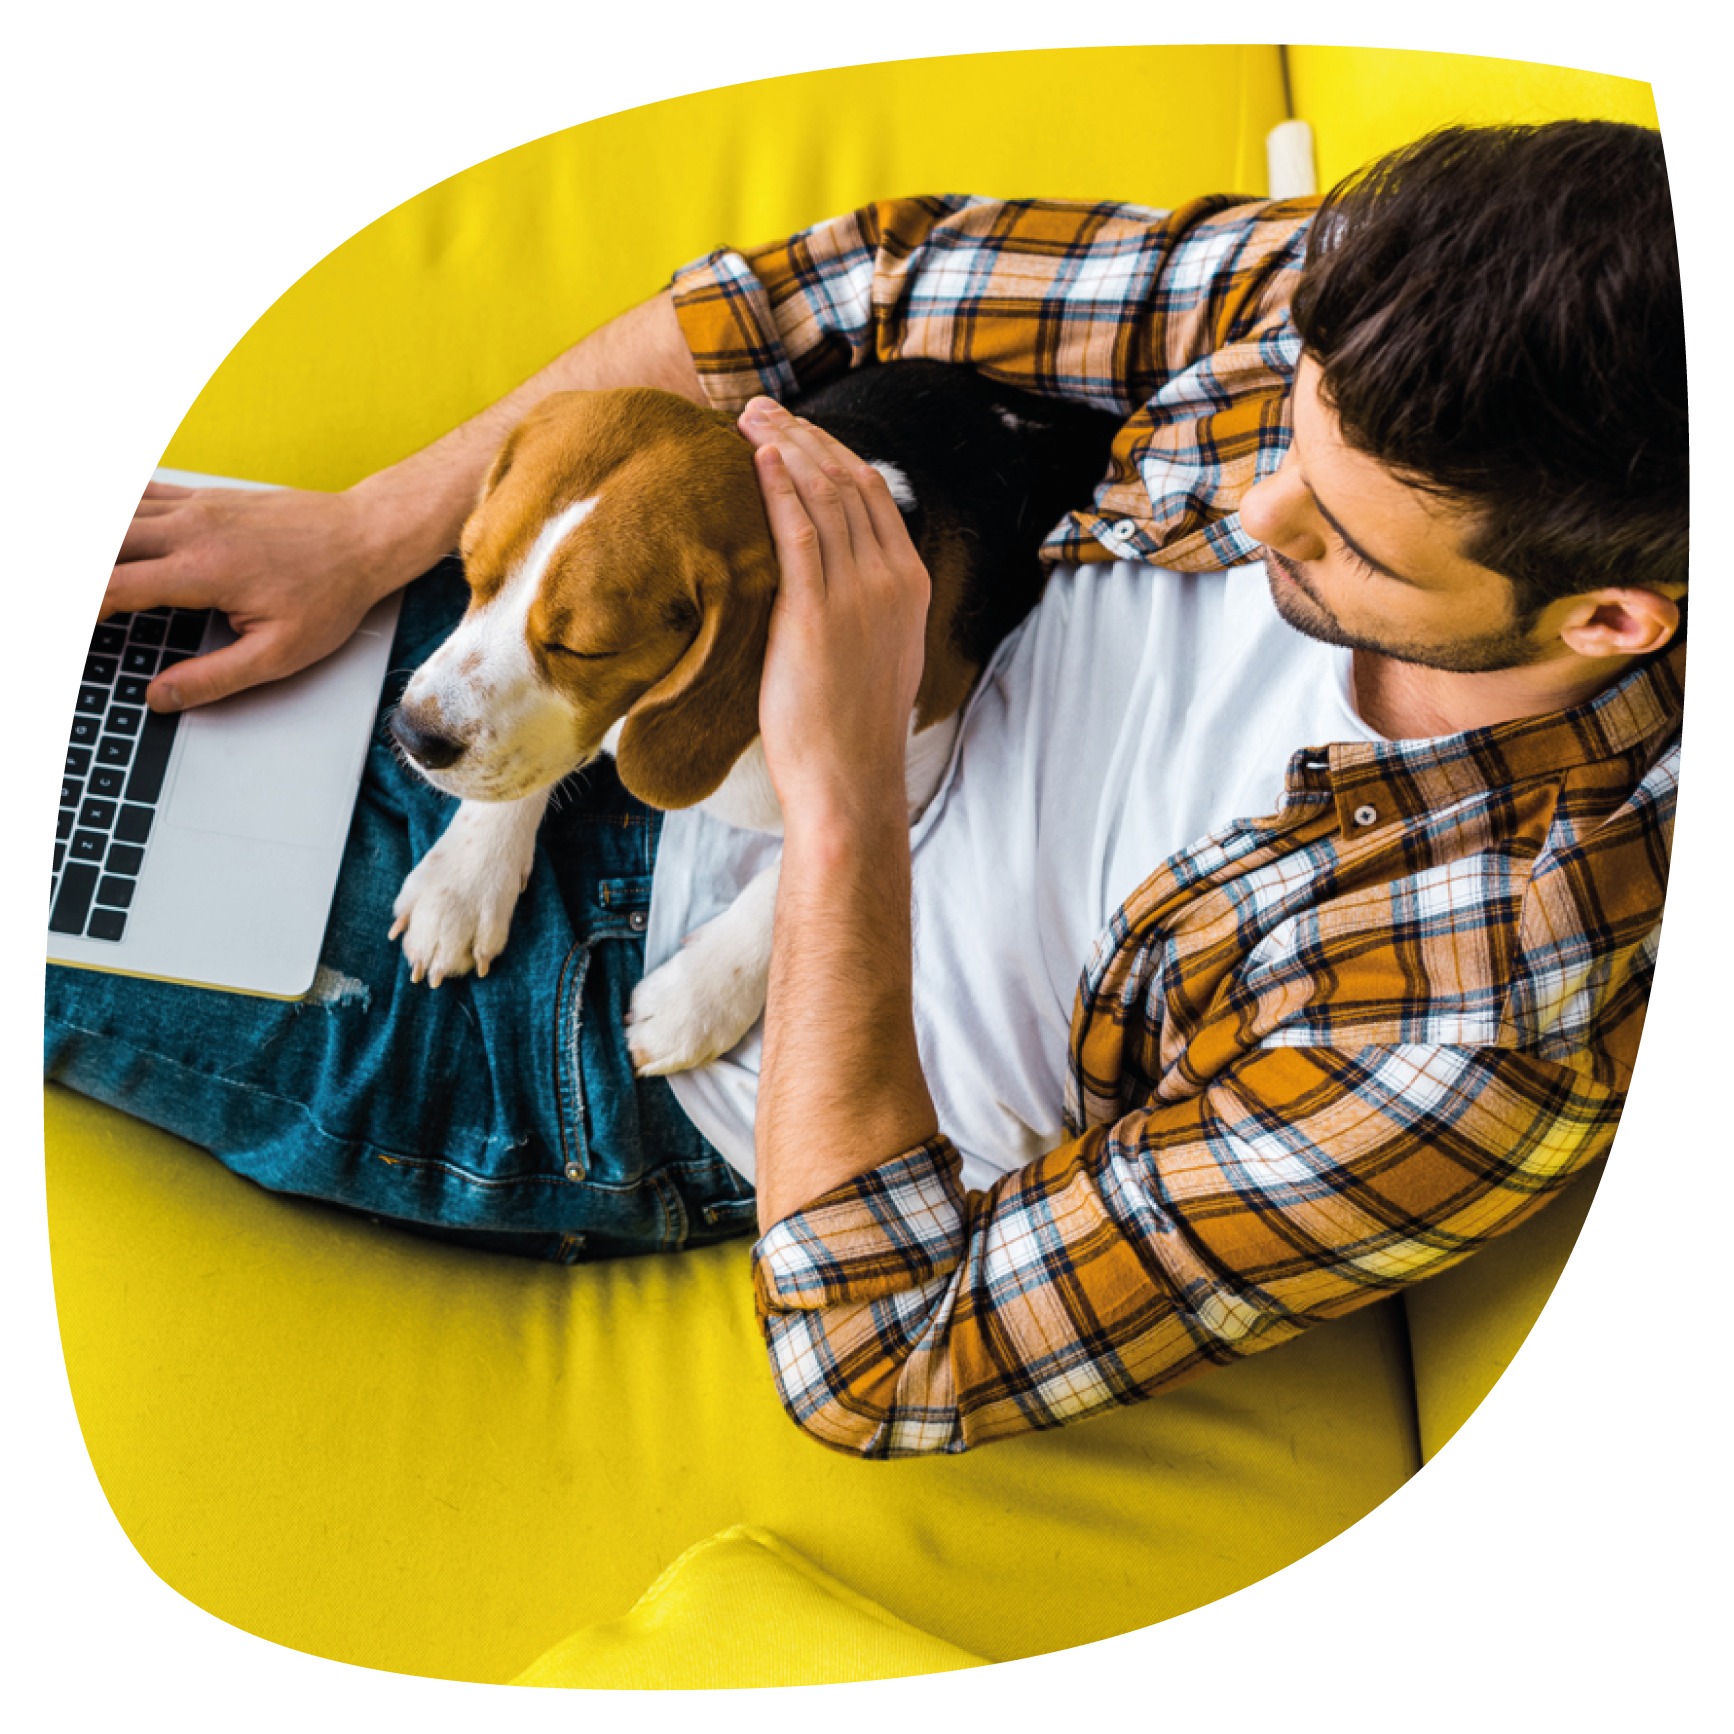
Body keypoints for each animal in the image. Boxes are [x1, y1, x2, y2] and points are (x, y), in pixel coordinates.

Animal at [386, 360, 1116, 1075]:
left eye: (585, 648)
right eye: (470, 572)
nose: (411, 734)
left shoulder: (915, 768)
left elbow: (787, 874)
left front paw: (695, 998)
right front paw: (464, 877)